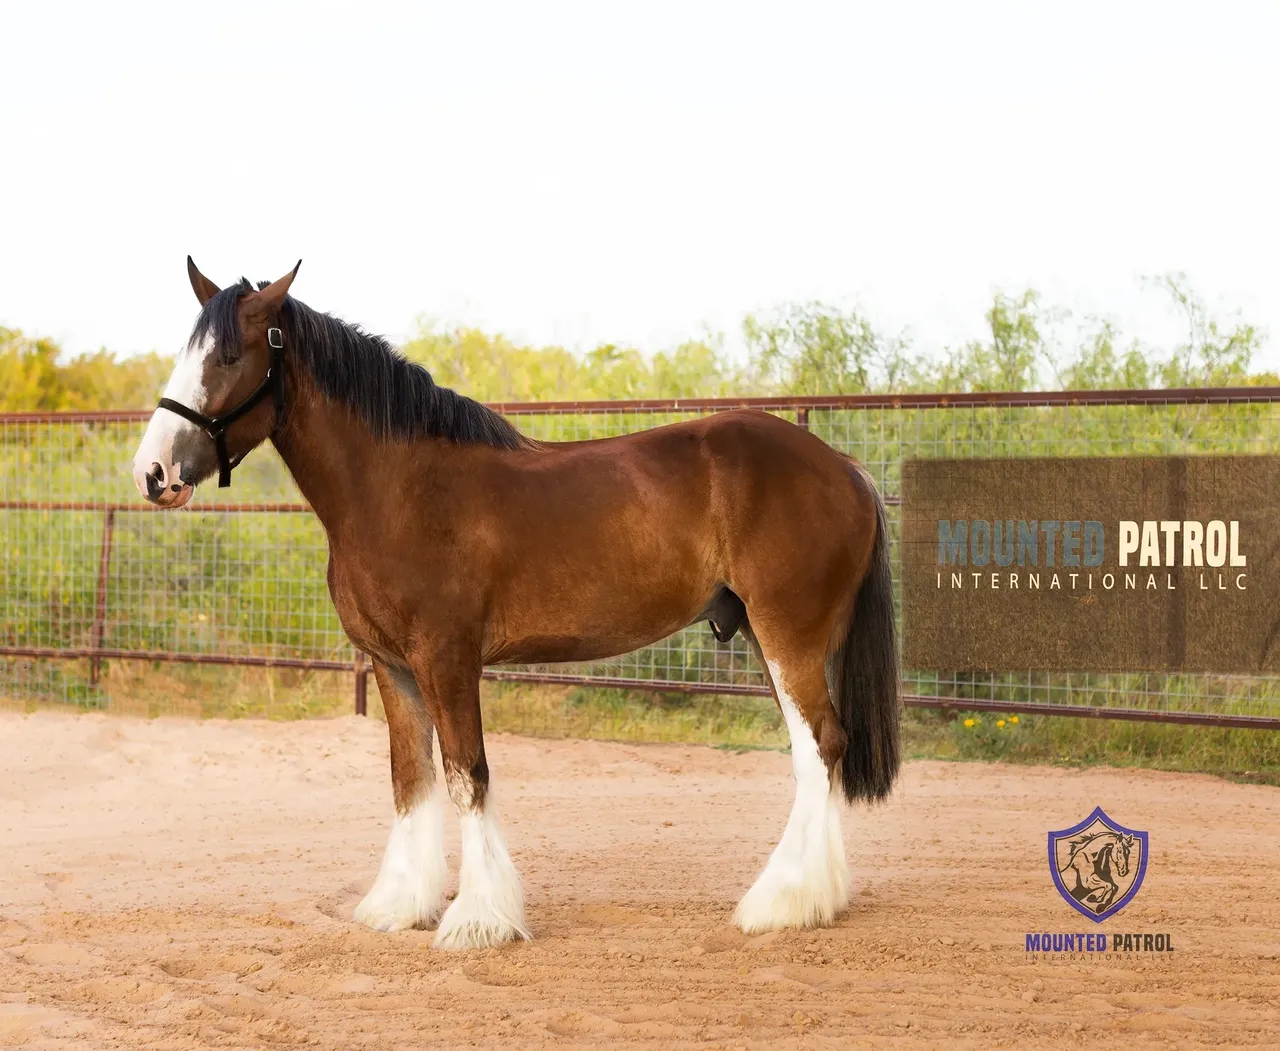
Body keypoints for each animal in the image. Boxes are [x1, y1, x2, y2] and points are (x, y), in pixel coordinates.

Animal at [130, 258, 902, 950]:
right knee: (819, 750)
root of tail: (847, 469)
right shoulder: (392, 666)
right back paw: (818, 897)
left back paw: (782, 902)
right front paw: (399, 904)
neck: (400, 488)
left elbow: (467, 776)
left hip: (788, 635)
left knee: (819, 746)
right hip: (779, 638)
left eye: (229, 354)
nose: (153, 473)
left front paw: (479, 920)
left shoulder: (447, 660)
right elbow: (410, 780)